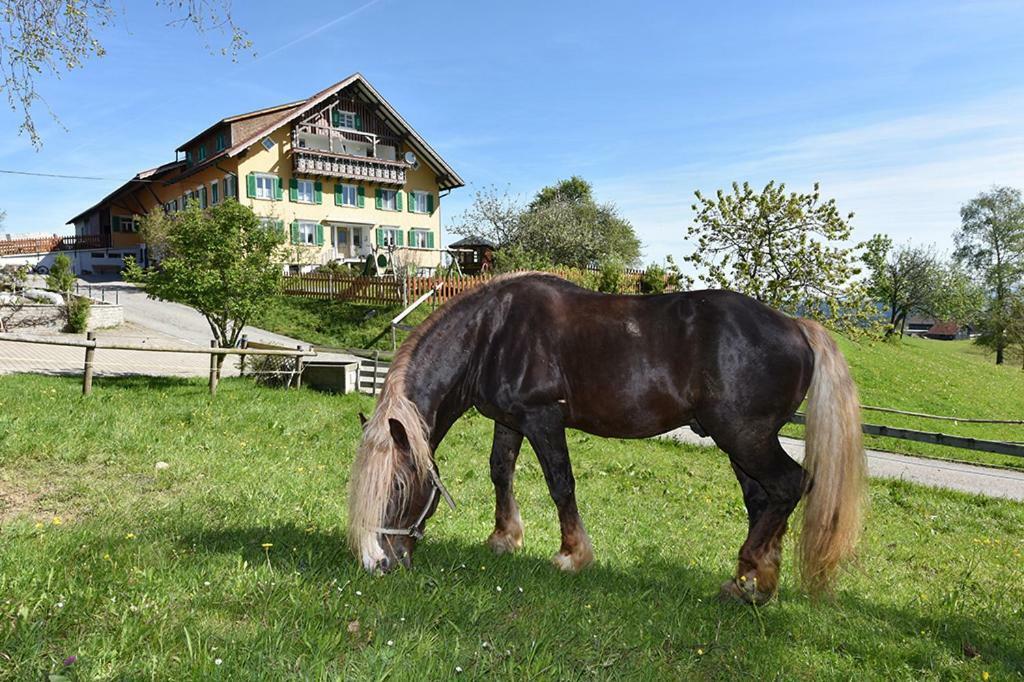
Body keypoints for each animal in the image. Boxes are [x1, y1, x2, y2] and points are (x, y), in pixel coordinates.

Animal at [346, 270, 864, 602]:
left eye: (397, 486)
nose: (377, 562)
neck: (491, 332)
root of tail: (797, 325)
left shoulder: (542, 419)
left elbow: (560, 483)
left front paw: (572, 555)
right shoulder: (509, 420)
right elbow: (500, 471)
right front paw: (504, 538)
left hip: (744, 437)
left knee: (790, 485)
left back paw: (755, 574)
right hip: (741, 443)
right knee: (763, 500)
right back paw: (751, 580)